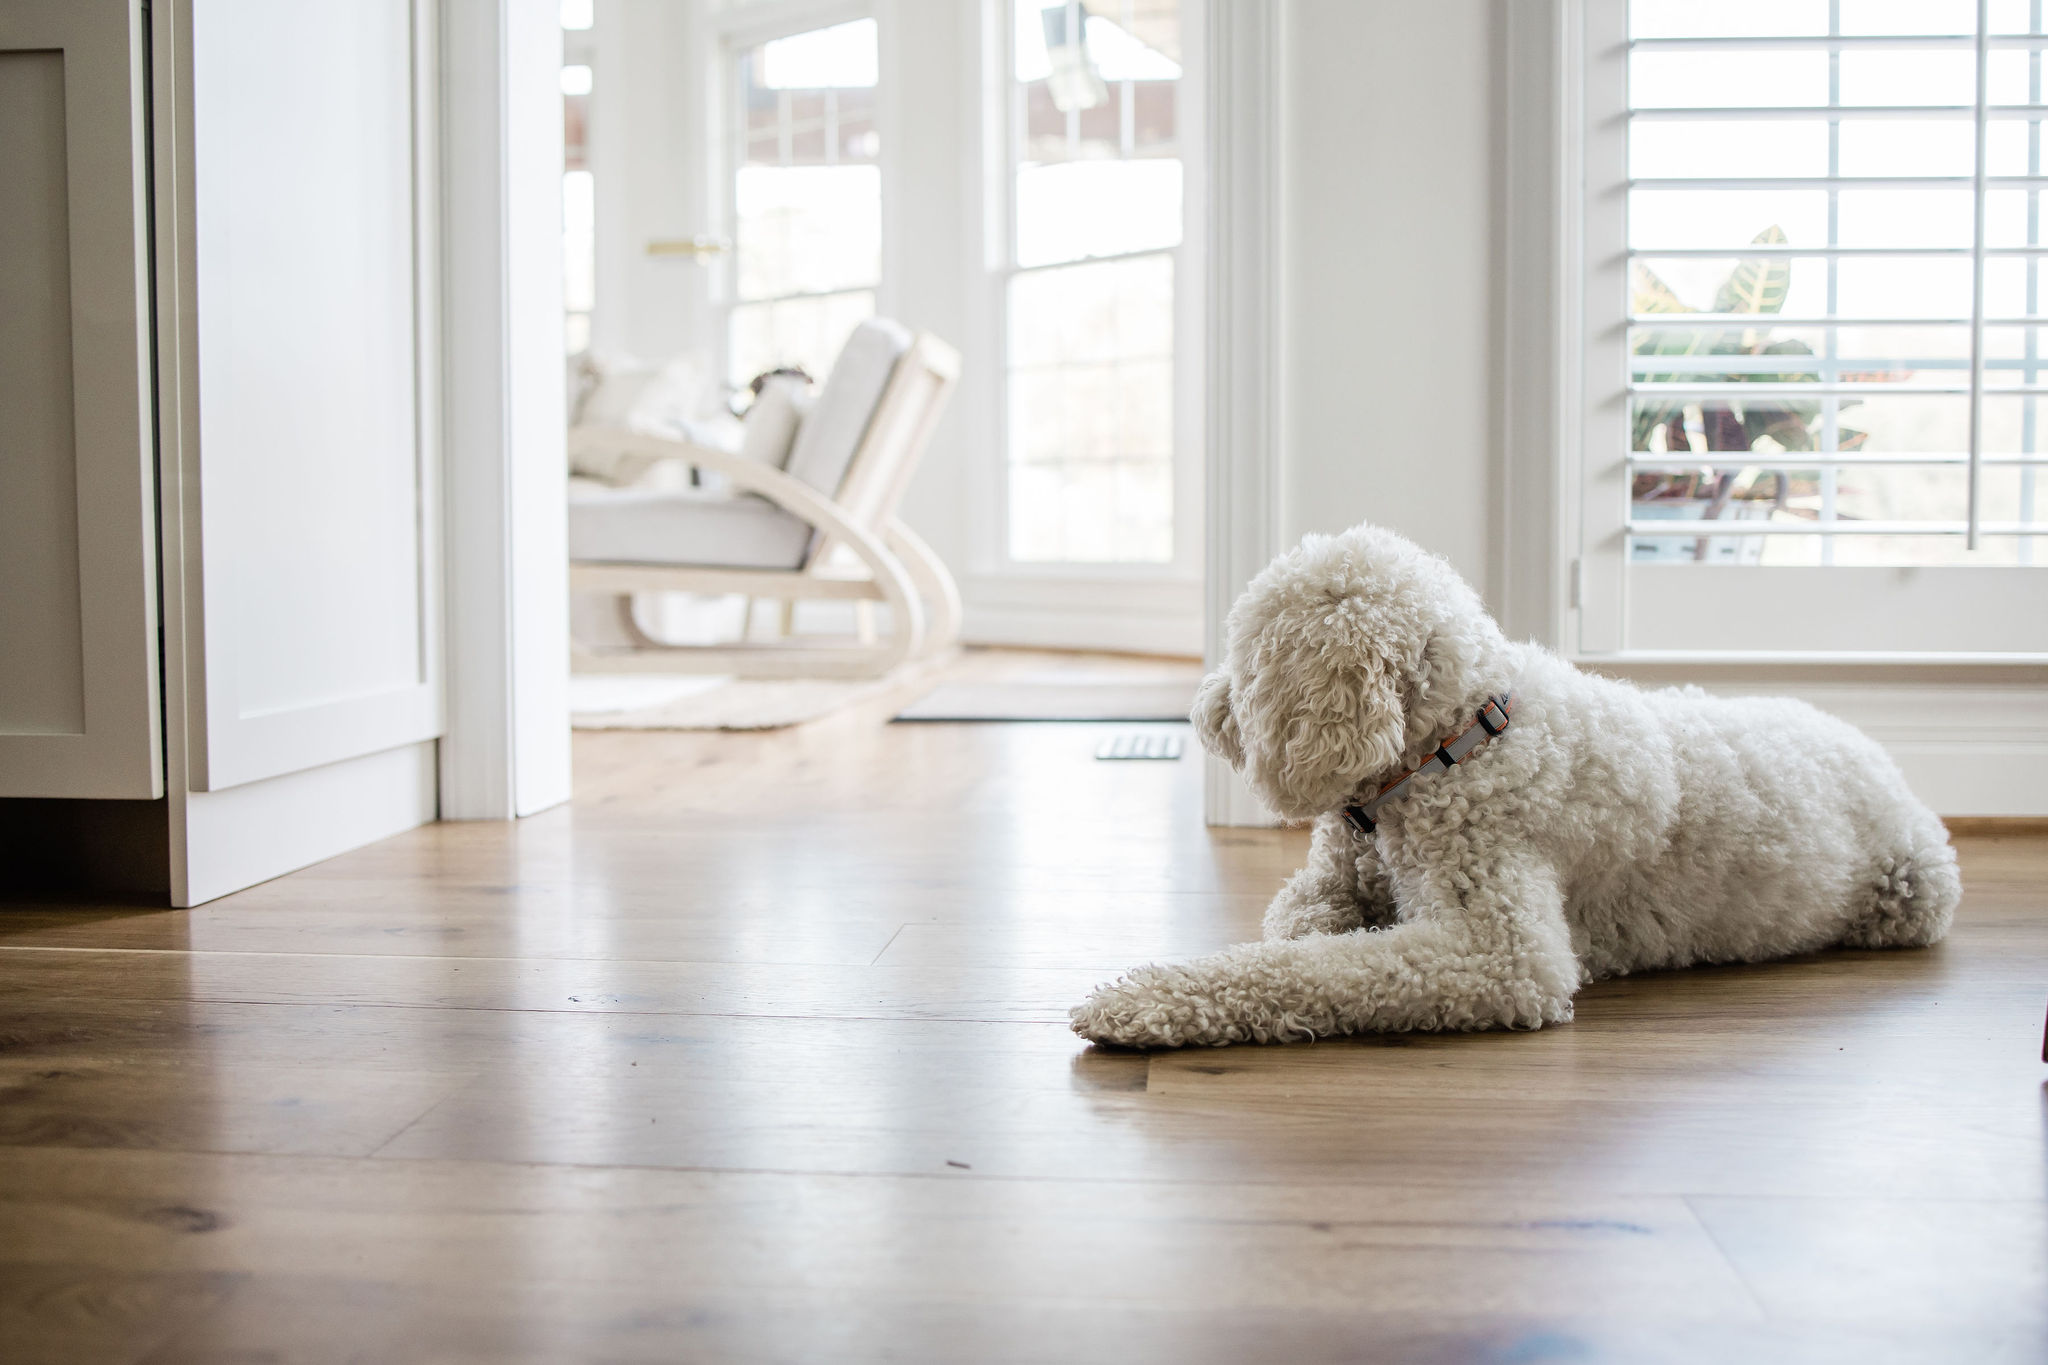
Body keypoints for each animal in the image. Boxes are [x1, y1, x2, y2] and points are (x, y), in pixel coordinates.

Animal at [1070, 524, 1959, 1049]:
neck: (1451, 746)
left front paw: (1140, 1001)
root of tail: (1871, 747)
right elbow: (1301, 922)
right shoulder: (1332, 876)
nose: (1203, 709)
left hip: (1913, 894)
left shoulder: (1497, 953)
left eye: (1249, 654)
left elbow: (1318, 970)